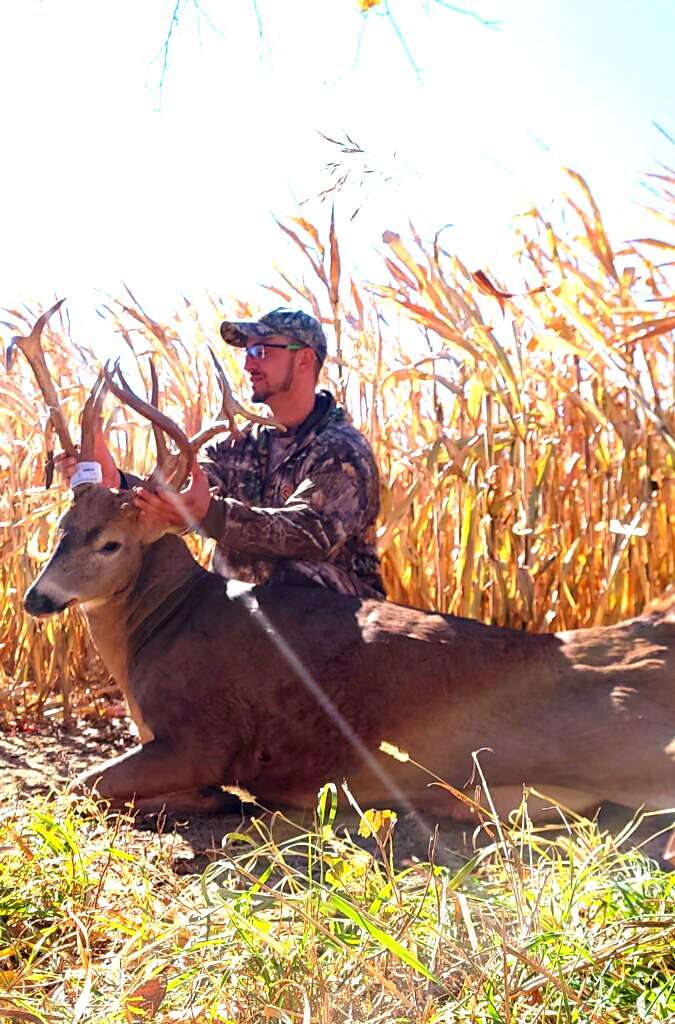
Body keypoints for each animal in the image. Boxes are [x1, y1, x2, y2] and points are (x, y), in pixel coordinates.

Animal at [7, 303, 675, 823]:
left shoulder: (201, 738)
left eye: (111, 543)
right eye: (62, 529)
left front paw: (214, 800)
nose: (36, 598)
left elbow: (77, 787)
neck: (158, 631)